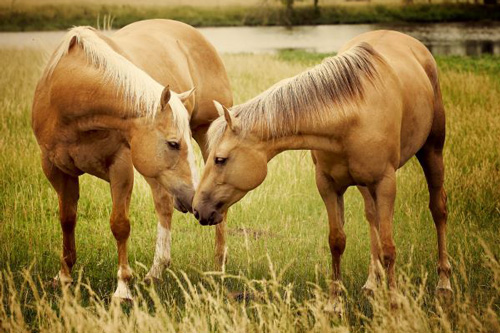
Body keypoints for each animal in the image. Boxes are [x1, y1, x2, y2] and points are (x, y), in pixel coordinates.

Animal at [33, 18, 232, 298]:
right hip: (153, 172)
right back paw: (156, 271)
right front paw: (63, 276)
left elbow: (119, 225)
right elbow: (67, 219)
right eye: (173, 143)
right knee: (164, 204)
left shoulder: (121, 165)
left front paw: (123, 288)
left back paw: (219, 269)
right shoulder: (55, 169)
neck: (67, 93)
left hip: (206, 137)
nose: (192, 199)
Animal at [194, 31, 454, 306]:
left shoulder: (385, 183)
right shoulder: (328, 185)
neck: (351, 116)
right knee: (371, 215)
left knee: (438, 209)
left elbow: (388, 247)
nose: (197, 208)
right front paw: (334, 303)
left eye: (220, 159)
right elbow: (337, 241)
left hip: (432, 150)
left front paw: (394, 303)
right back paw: (372, 282)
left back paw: (444, 284)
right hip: (364, 184)